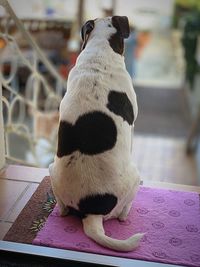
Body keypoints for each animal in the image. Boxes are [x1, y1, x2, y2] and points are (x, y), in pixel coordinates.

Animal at [49, 15, 144, 252]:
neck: (100, 53)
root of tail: (91, 213)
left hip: (51, 169)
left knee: (62, 210)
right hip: (134, 177)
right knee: (123, 213)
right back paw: (126, 215)